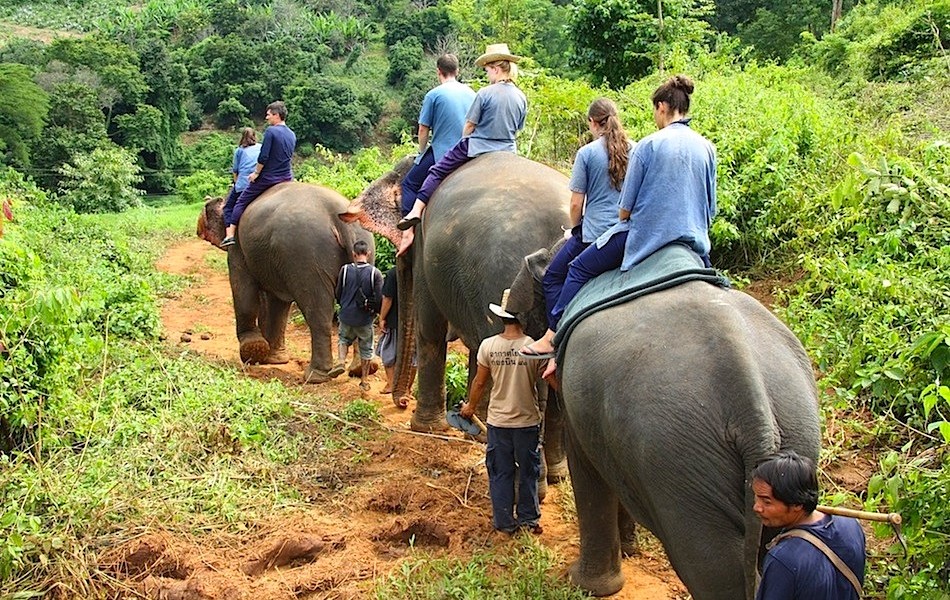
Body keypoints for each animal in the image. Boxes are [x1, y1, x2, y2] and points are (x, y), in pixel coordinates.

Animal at [198, 180, 376, 382]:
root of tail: (339, 217)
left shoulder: (237, 246)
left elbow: (242, 288)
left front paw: (253, 351)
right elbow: (278, 303)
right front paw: (274, 359)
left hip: (305, 255)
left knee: (317, 312)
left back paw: (315, 376)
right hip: (363, 247)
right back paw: (360, 369)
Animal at [346, 154, 576, 482]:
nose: (401, 401)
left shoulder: (426, 248)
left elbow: (430, 330)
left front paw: (427, 428)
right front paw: (470, 428)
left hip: (500, 275)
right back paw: (555, 474)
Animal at [506, 245, 824, 600]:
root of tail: (751, 402)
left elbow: (589, 473)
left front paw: (584, 585)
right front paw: (629, 550)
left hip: (678, 457)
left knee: (709, 562)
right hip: (793, 432)